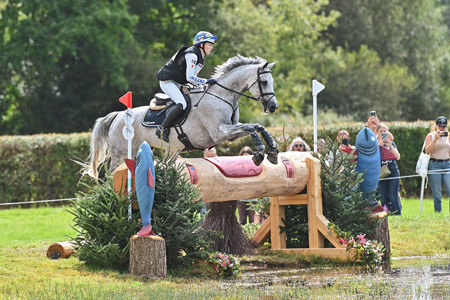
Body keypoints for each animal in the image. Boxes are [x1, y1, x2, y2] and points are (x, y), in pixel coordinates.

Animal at [83, 55, 278, 179]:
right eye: (264, 82)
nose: (273, 107)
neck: (223, 95)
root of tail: (117, 116)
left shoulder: (229, 134)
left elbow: (257, 126)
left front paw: (273, 151)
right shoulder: (219, 132)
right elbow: (251, 127)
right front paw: (259, 153)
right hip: (121, 152)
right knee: (111, 176)